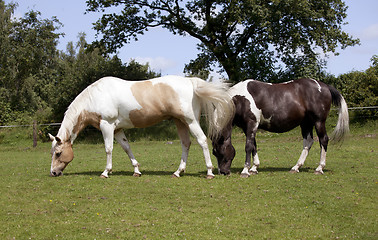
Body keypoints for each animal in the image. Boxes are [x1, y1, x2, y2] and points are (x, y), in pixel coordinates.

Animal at [48, 75, 235, 178]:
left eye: (58, 153)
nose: (53, 172)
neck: (95, 96)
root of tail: (191, 82)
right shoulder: (118, 129)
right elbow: (126, 148)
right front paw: (136, 170)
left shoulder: (107, 125)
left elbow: (108, 149)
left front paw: (106, 172)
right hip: (180, 121)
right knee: (186, 144)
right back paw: (177, 172)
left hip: (190, 121)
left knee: (202, 141)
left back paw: (210, 172)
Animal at [213, 78, 348, 177]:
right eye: (214, 153)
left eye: (218, 151)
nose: (223, 172)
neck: (240, 99)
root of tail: (324, 86)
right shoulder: (249, 128)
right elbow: (254, 147)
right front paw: (254, 168)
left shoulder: (251, 124)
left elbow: (248, 147)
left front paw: (245, 171)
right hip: (306, 123)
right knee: (308, 142)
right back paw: (296, 167)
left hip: (319, 121)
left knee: (323, 140)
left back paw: (319, 168)